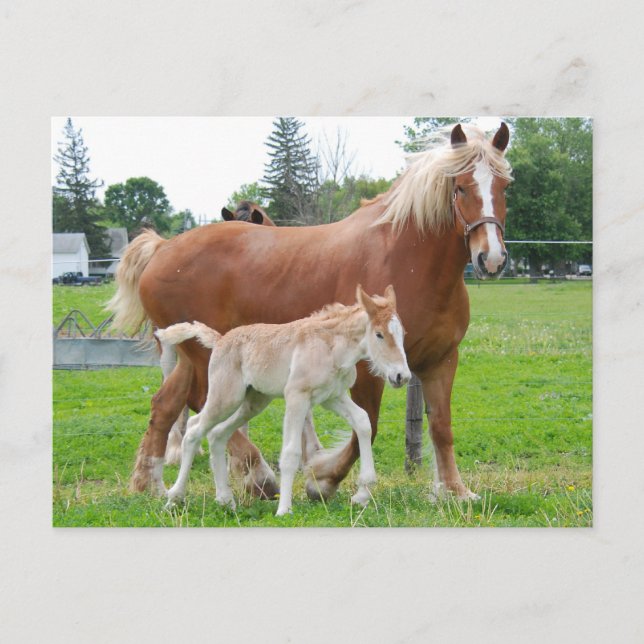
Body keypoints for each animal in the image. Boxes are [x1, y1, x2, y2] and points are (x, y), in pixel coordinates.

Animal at [157, 285, 410, 515]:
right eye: (379, 334)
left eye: (402, 334)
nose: (402, 376)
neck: (331, 347)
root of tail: (220, 341)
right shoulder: (296, 397)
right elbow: (290, 453)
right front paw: (284, 509)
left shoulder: (333, 396)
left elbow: (363, 422)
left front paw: (363, 493)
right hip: (226, 397)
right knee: (194, 430)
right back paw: (173, 498)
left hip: (253, 402)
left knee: (216, 433)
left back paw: (226, 500)